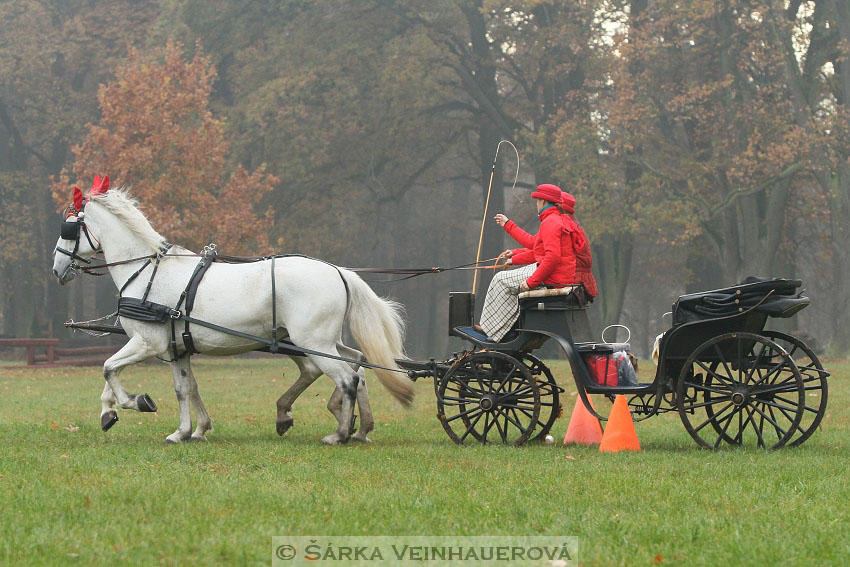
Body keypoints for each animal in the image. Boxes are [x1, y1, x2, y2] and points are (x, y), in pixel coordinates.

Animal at [51, 181, 412, 444]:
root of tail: (338, 271)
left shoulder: (148, 342)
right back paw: (359, 427)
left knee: (347, 377)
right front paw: (181, 430)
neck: (149, 271)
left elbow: (109, 368)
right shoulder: (176, 348)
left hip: (313, 343)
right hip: (323, 342)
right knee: (357, 366)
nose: (57, 270)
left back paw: (339, 434)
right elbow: (185, 388)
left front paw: (136, 402)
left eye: (69, 229)